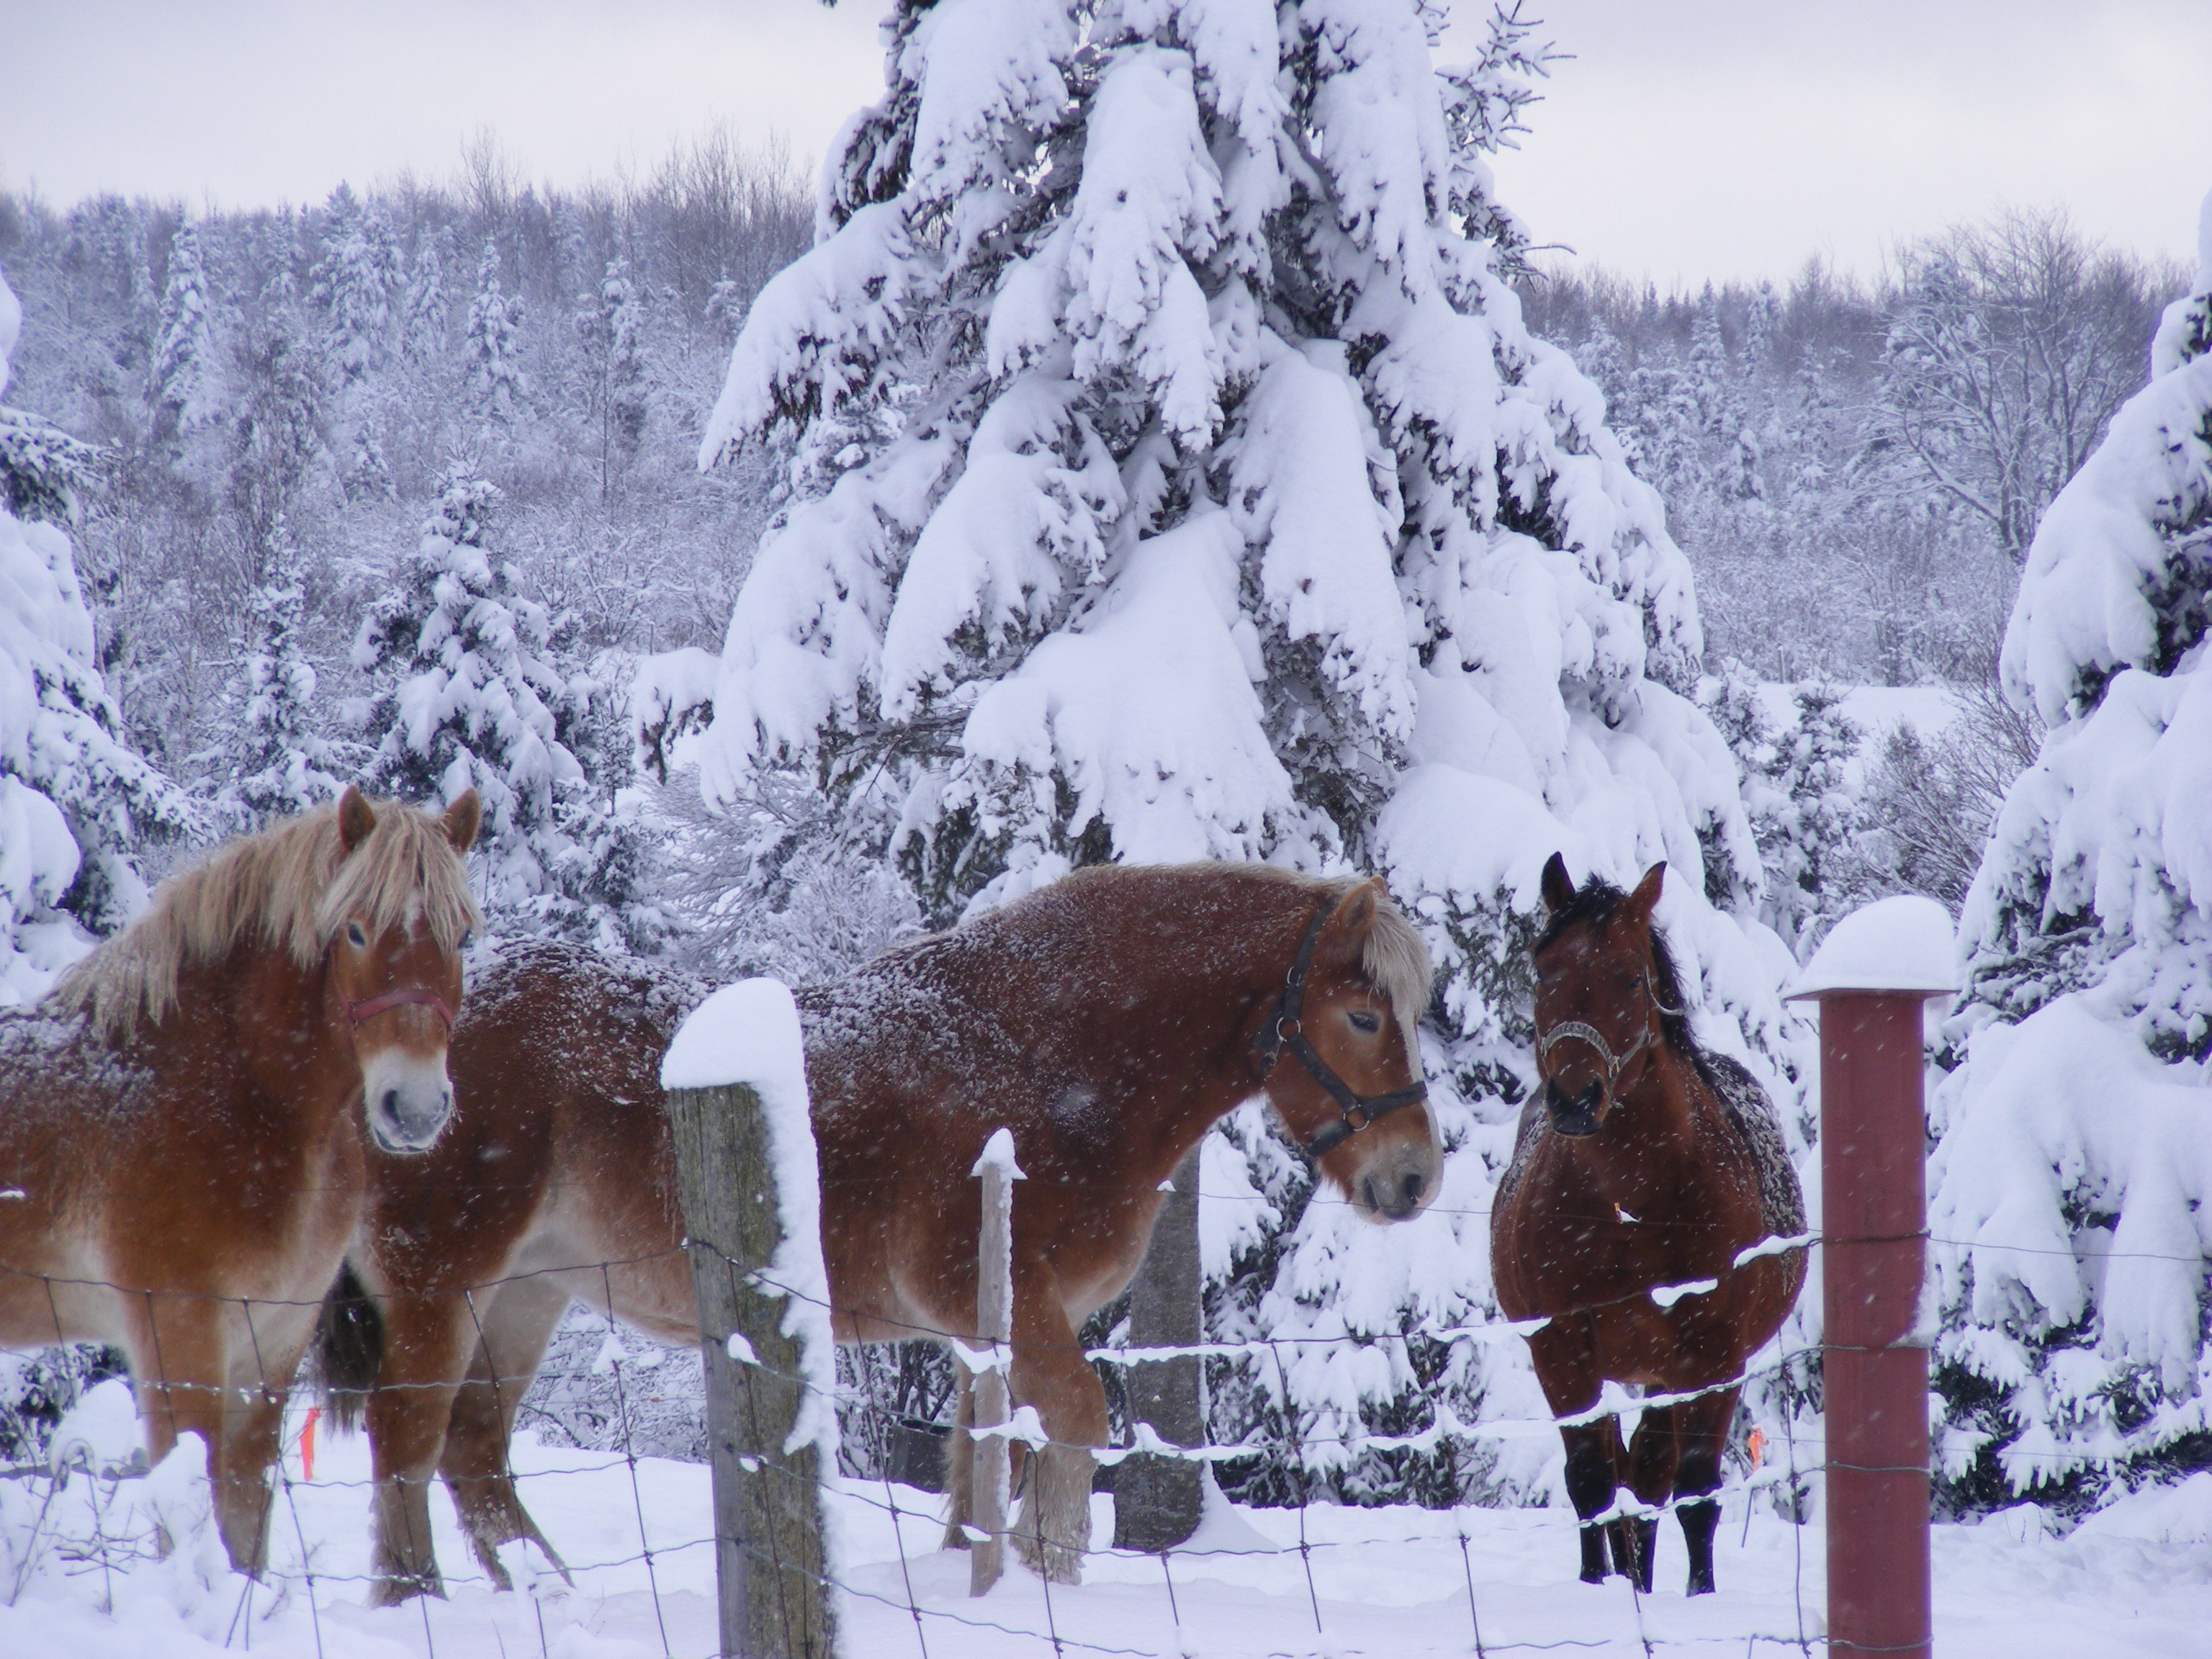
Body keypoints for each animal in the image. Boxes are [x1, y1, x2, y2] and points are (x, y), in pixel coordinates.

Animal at [0, 786, 480, 1576]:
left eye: (463, 936)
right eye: (355, 930)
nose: (413, 1108)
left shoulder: (272, 1348)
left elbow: (245, 1520)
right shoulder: (180, 1344)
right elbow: (187, 1517)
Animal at [324, 860, 1440, 1597]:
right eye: (1364, 1018)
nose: (1417, 1177)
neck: (1037, 1057)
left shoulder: (987, 1326)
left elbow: (983, 1468)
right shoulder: (1006, 1301)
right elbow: (1076, 1427)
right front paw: (1046, 1577)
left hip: (527, 1293)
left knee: (473, 1453)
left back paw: (544, 1593)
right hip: (441, 1288)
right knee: (407, 1441)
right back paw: (420, 1602)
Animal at [1490, 856, 1805, 1597]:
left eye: (1632, 978)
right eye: (1543, 970)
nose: (1576, 1099)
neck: (1629, 1209)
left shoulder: (1706, 1355)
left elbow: (1687, 1485)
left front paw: (1697, 1596)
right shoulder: (1561, 1349)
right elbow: (1591, 1480)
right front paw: (1596, 1591)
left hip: (1683, 1370)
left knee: (1658, 1474)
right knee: (1619, 1472)